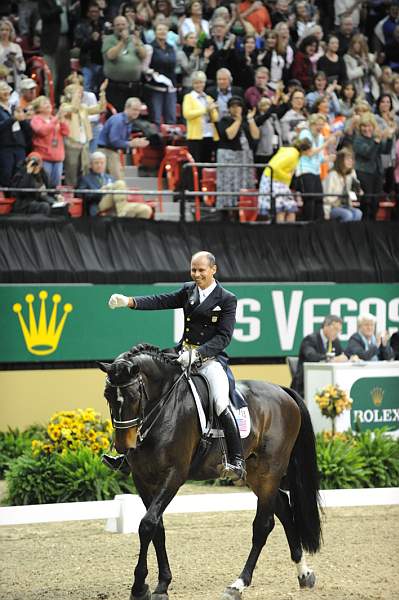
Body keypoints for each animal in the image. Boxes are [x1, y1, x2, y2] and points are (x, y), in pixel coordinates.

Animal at [99, 344, 322, 600]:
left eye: (134, 396)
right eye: (107, 395)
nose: (124, 446)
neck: (164, 405)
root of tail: (283, 391)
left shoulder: (174, 475)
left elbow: (147, 525)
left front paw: (139, 587)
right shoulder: (143, 479)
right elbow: (157, 528)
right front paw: (161, 584)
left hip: (270, 471)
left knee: (263, 526)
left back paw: (238, 584)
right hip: (256, 474)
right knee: (284, 510)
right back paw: (304, 573)